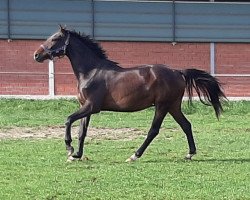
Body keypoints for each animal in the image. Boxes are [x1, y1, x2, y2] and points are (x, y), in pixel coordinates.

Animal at [33, 26, 227, 162]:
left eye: (55, 38)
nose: (36, 55)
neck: (91, 71)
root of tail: (178, 72)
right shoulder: (85, 107)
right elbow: (82, 131)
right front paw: (77, 155)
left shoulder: (92, 107)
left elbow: (68, 120)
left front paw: (70, 149)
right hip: (173, 106)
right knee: (186, 125)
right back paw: (189, 154)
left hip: (162, 106)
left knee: (154, 130)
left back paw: (135, 155)